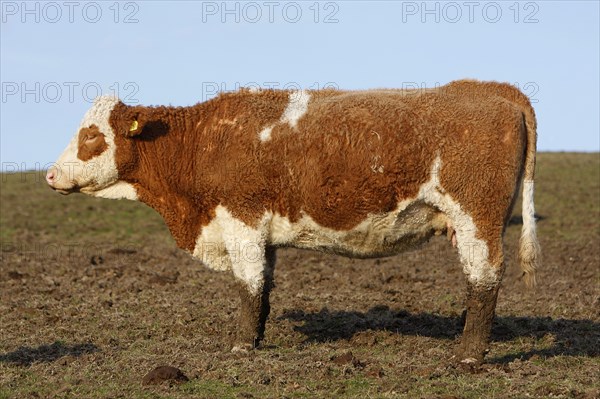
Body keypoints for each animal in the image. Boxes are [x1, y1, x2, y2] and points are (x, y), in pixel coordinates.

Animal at [49, 79, 540, 366]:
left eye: (91, 136)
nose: (50, 175)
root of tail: (492, 89)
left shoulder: (242, 220)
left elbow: (248, 285)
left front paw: (241, 346)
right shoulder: (261, 233)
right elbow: (264, 286)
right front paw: (257, 338)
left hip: (475, 217)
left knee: (484, 278)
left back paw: (469, 355)